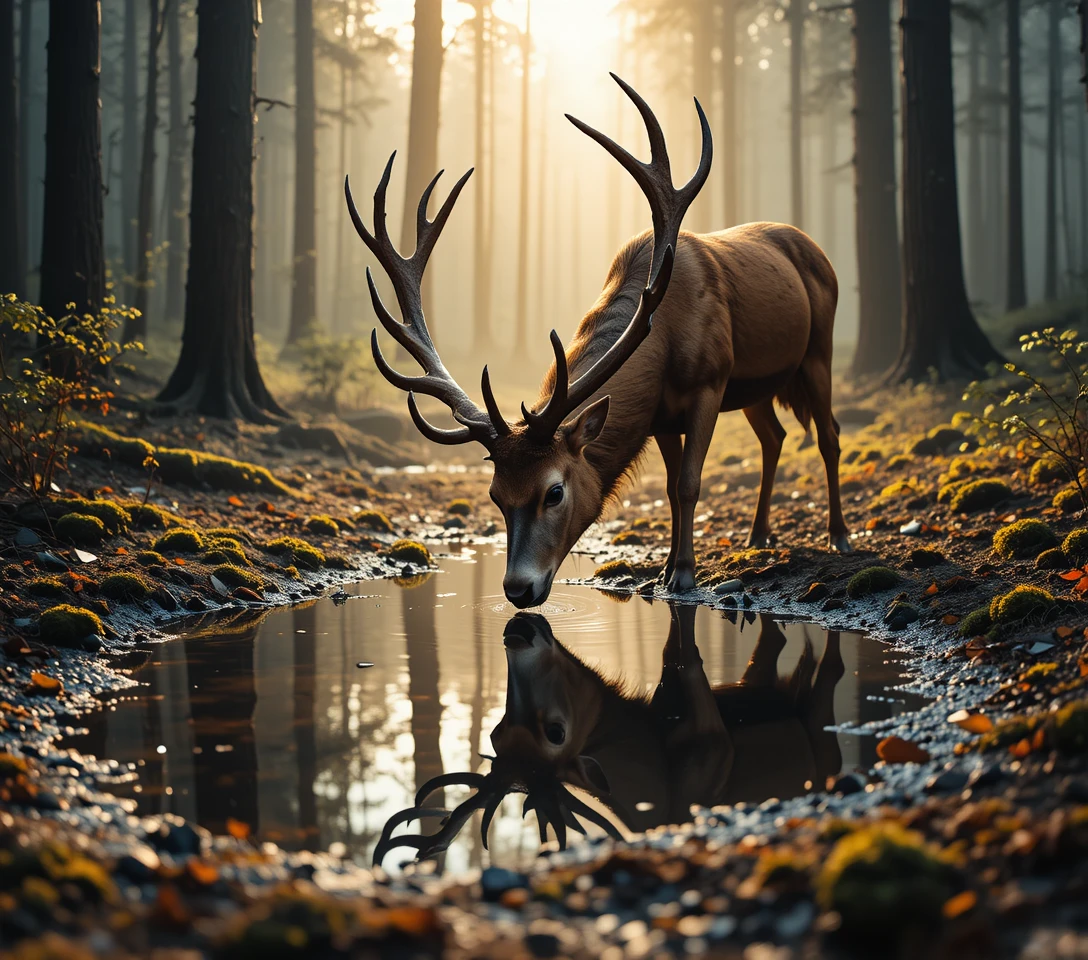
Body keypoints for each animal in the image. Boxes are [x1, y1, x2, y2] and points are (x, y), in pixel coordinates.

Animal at [345, 75, 850, 610]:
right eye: (495, 495)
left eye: (554, 491)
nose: (518, 588)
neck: (663, 339)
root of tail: (817, 250)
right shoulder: (661, 415)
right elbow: (670, 487)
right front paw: (666, 569)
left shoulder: (709, 382)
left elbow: (688, 484)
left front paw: (684, 574)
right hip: (756, 387)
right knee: (774, 435)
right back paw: (758, 535)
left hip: (818, 349)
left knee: (829, 433)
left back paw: (838, 535)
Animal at [372, 606, 845, 865]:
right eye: (496, 732)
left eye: (556, 731)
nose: (519, 630)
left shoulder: (713, 735)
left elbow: (686, 656)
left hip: (821, 730)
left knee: (831, 670)